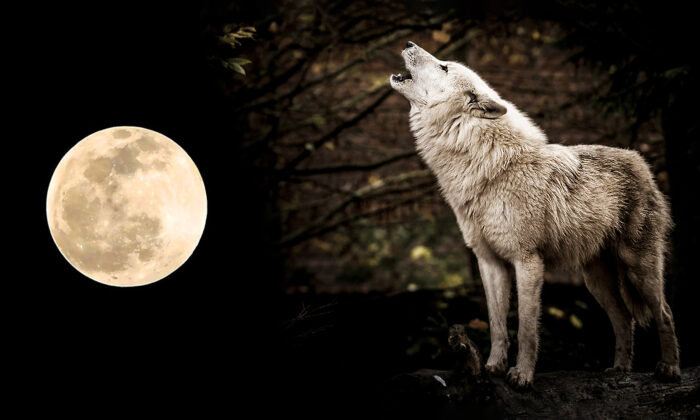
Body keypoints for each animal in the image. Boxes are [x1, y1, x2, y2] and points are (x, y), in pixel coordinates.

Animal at [390, 41, 680, 389]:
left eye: (444, 66)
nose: (409, 43)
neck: (486, 167)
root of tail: (640, 161)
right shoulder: (489, 263)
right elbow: (497, 325)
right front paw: (493, 367)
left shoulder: (527, 261)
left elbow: (527, 328)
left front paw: (522, 376)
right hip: (595, 280)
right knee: (624, 318)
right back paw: (620, 369)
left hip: (639, 269)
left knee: (664, 313)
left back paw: (669, 369)